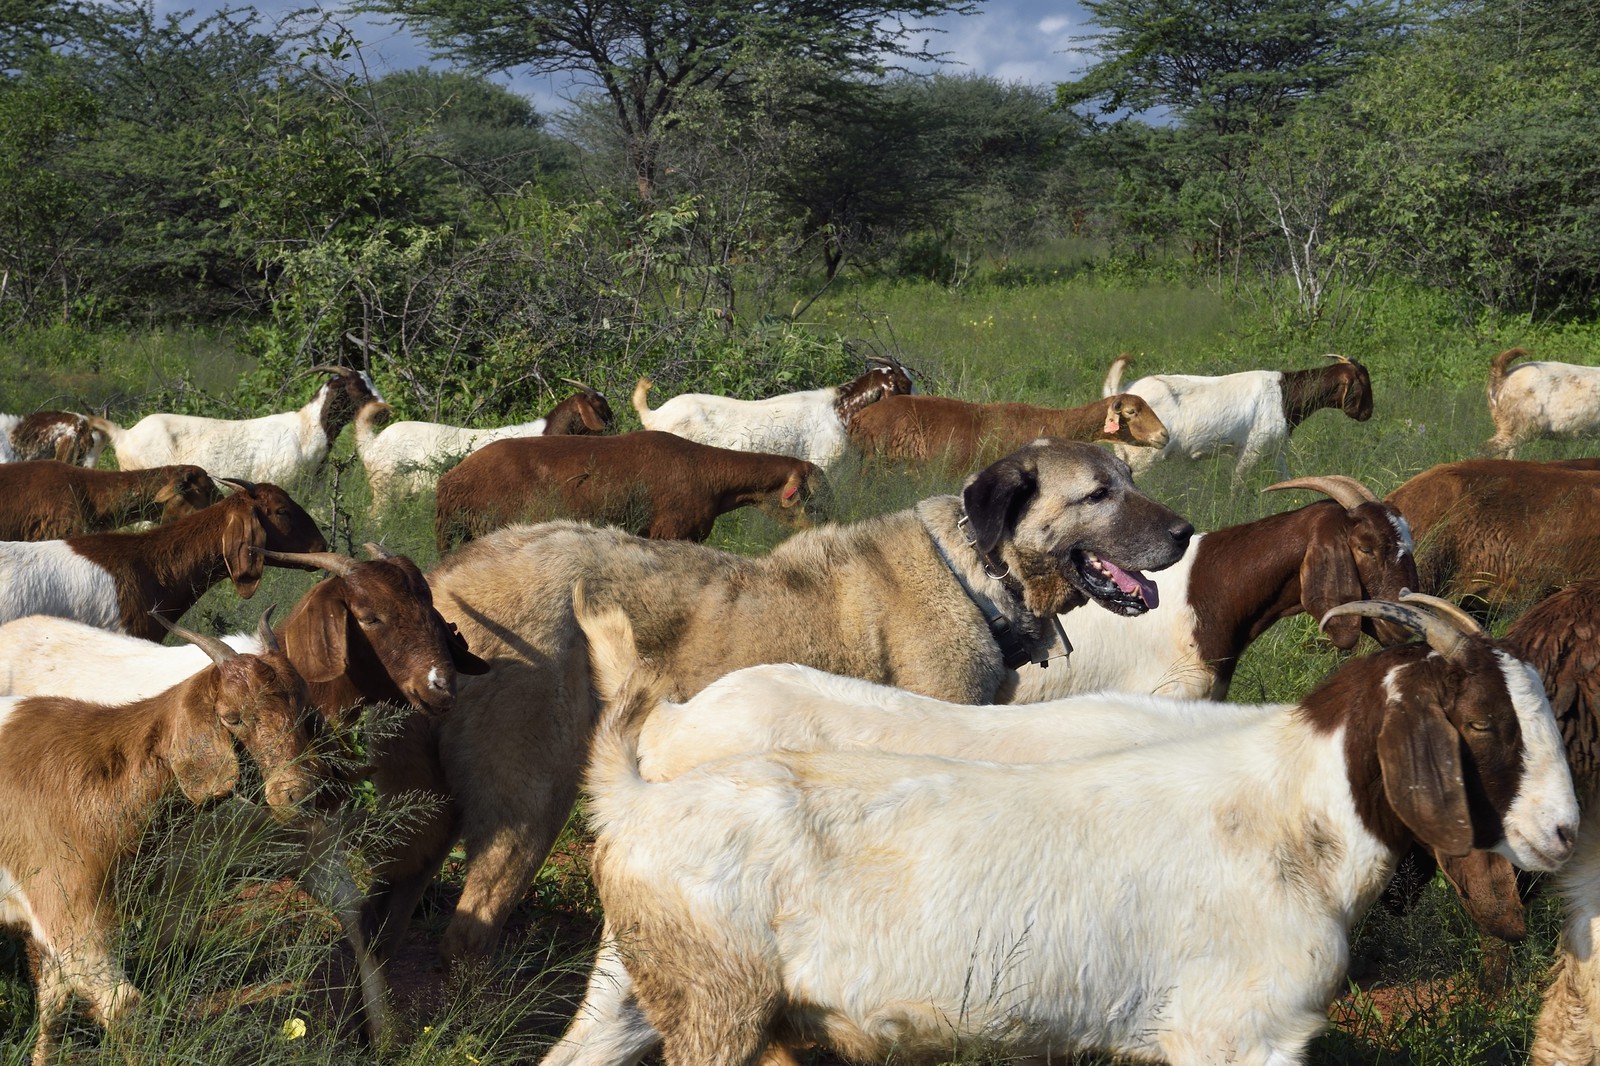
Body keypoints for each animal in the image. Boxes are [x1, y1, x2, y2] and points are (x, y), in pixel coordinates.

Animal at [0, 612, 321, 1065]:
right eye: (232, 716)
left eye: (304, 709)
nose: (298, 793)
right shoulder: (71, 919)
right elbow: (125, 1011)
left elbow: (53, 1004)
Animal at [576, 597, 1576, 1066]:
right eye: (1482, 723)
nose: (1566, 832)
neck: (1296, 817)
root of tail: (635, 791)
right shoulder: (1234, 1031)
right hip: (710, 1000)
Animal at [1103, 352, 1374, 485]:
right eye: (1363, 382)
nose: (1367, 413)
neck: (1285, 393)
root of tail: (1120, 392)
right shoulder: (1253, 448)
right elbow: (1238, 483)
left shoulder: (1275, 449)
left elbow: (1286, 478)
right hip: (1145, 456)